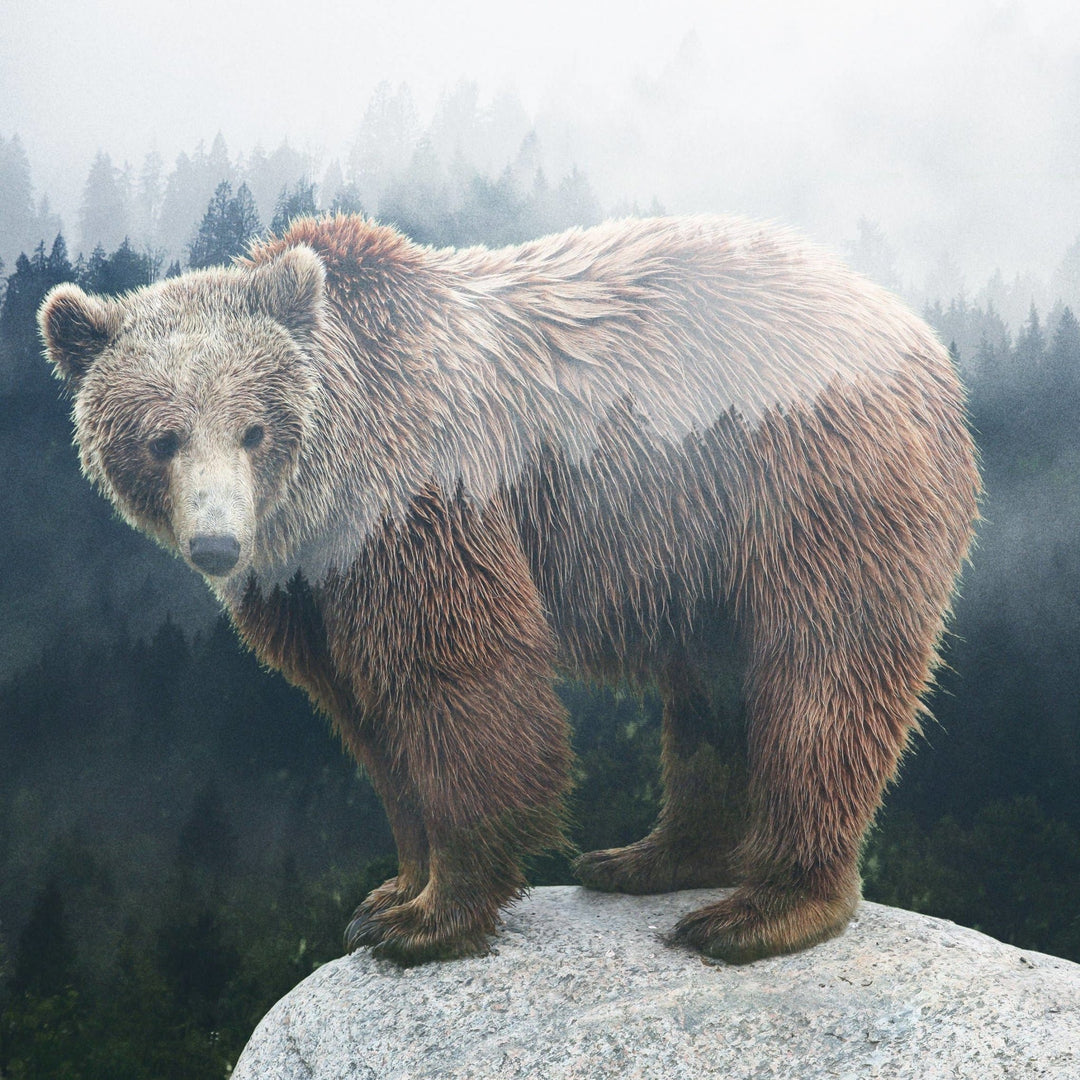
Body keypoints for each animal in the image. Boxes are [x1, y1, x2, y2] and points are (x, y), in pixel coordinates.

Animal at [38, 214, 980, 967]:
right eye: (160, 438)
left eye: (253, 428)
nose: (217, 543)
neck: (324, 494)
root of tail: (916, 330)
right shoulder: (310, 584)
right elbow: (365, 715)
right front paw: (391, 890)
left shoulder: (420, 496)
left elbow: (457, 678)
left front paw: (431, 918)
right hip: (705, 549)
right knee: (713, 695)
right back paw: (647, 858)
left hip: (811, 485)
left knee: (821, 677)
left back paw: (763, 909)